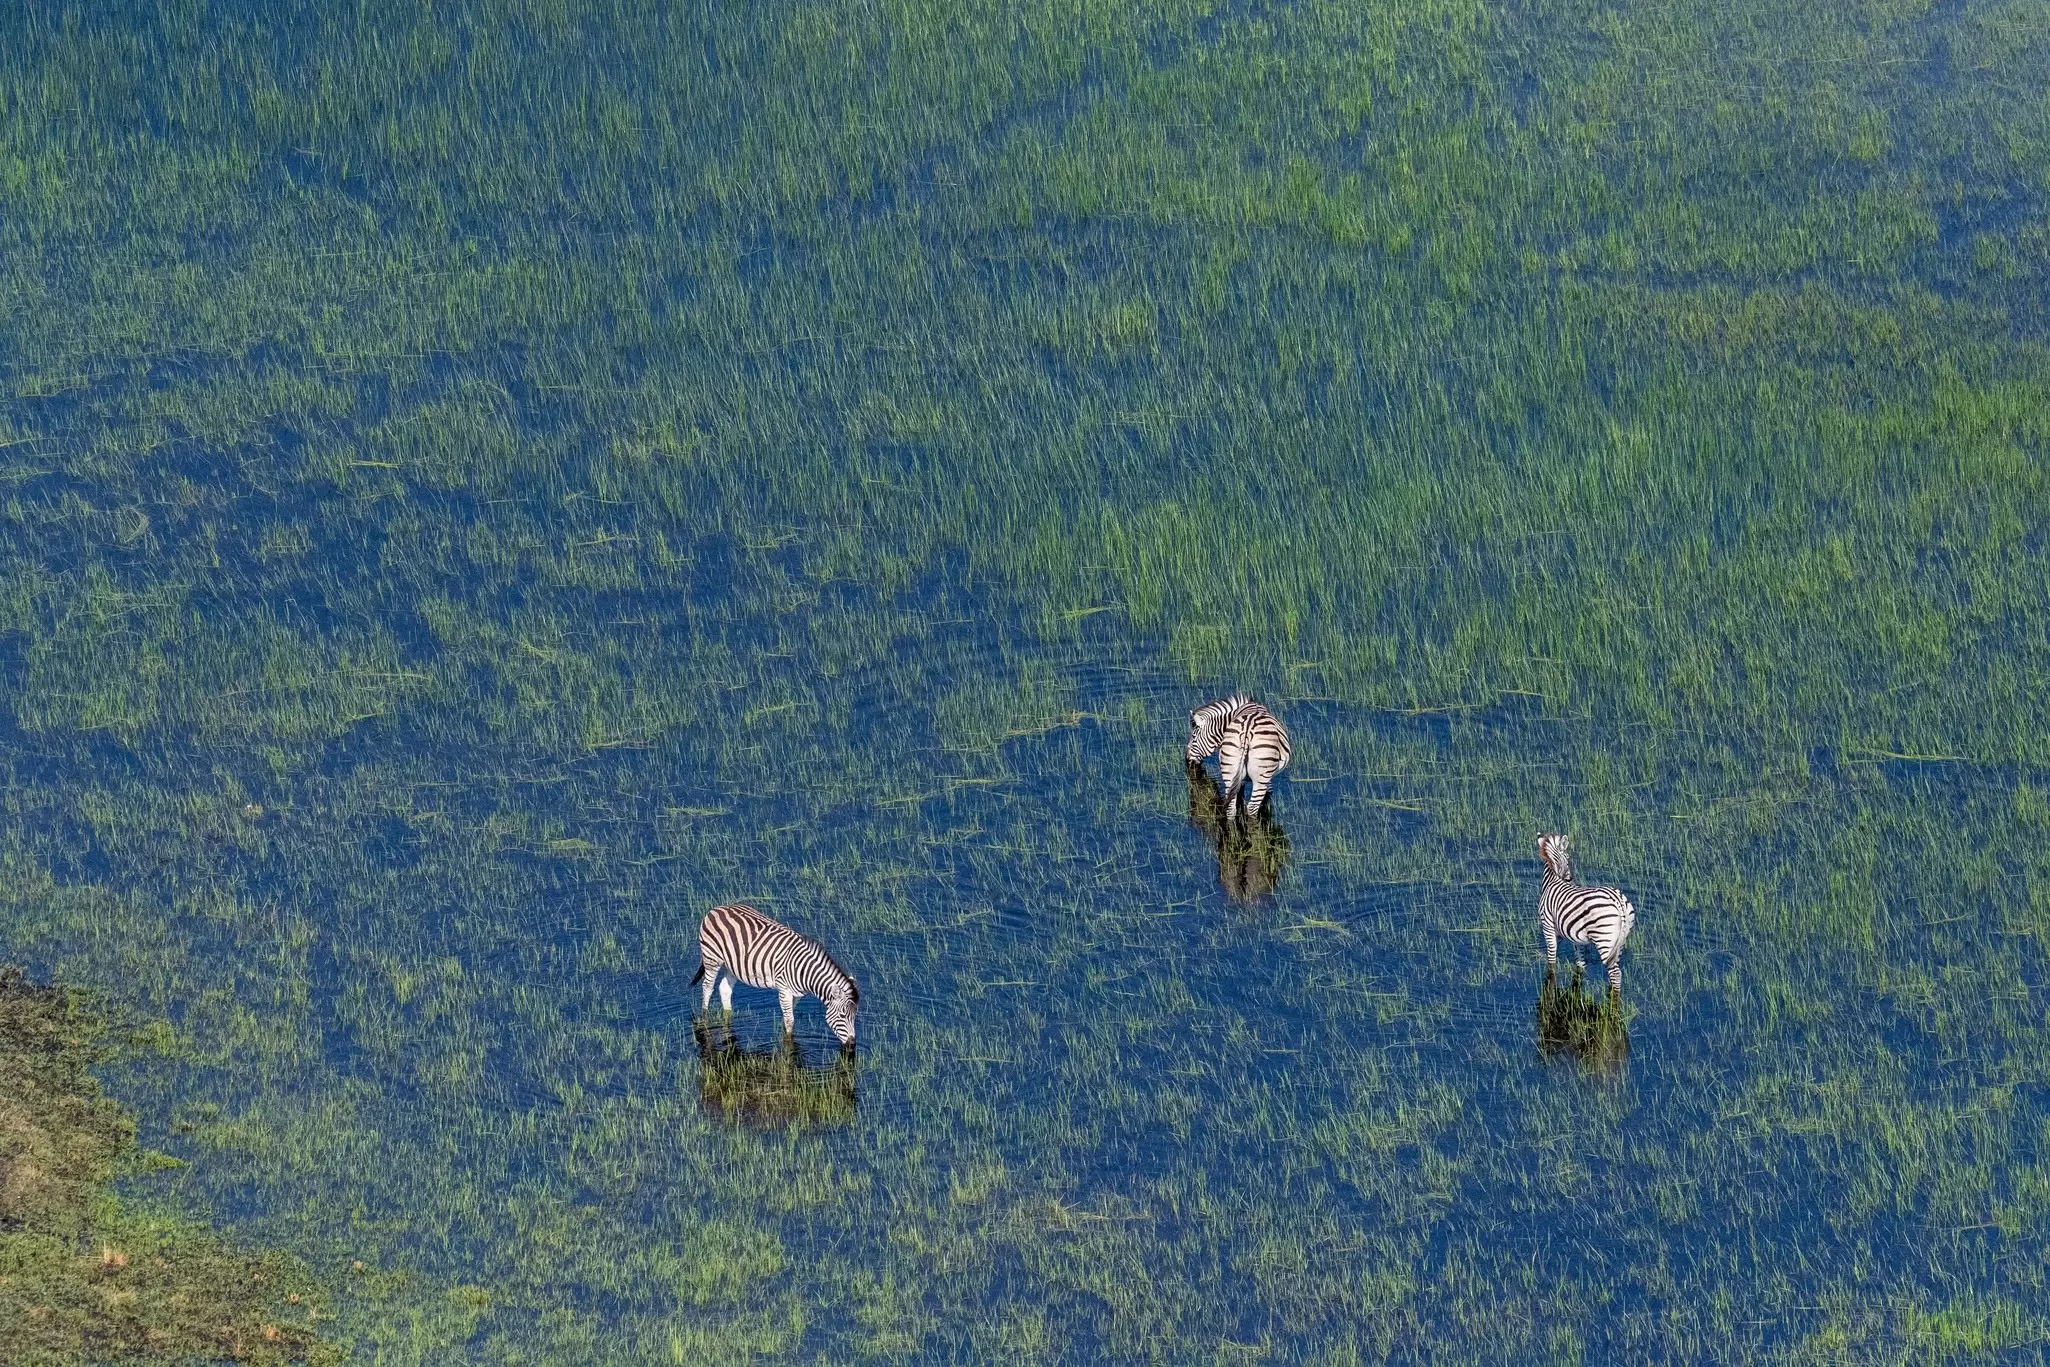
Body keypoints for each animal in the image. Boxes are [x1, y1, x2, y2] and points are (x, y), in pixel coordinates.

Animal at [690, 904, 859, 1049]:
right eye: (842, 1016)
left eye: (854, 1016)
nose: (852, 1044)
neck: (805, 972)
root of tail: (717, 908)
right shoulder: (784, 990)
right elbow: (790, 1020)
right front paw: (788, 1045)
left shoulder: (797, 995)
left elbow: (787, 1019)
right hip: (712, 959)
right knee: (707, 988)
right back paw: (705, 1019)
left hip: (732, 966)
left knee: (724, 989)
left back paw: (728, 1017)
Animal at [1537, 833, 1637, 994]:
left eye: (1568, 857)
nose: (1569, 879)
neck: (1554, 879)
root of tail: (1618, 901)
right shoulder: (1576, 936)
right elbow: (1580, 962)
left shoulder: (1548, 927)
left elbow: (1551, 960)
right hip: (1620, 941)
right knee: (1615, 971)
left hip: (1604, 939)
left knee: (1616, 973)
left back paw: (1612, 998)